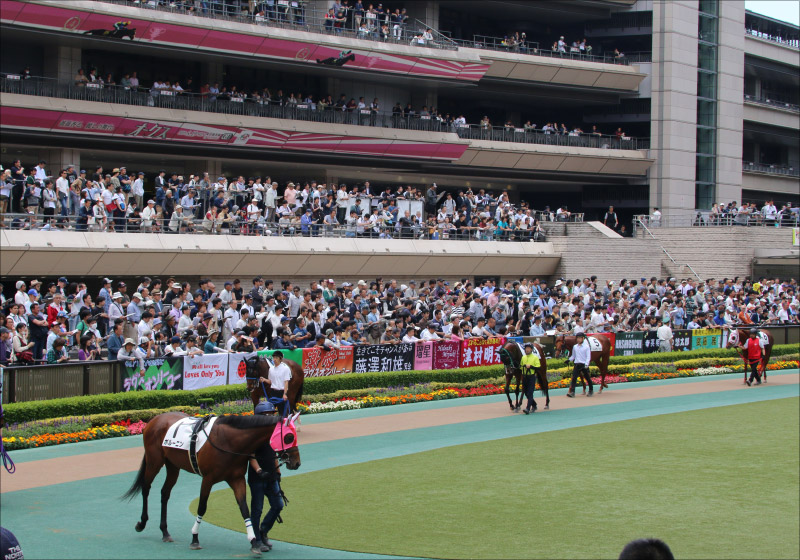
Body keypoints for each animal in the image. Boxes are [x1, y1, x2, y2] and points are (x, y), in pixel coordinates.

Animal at [123, 412, 302, 556]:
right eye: (289, 437)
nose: (296, 463)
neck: (228, 441)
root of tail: (154, 420)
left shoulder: (236, 479)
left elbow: (244, 508)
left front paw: (253, 542)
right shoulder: (207, 479)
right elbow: (202, 507)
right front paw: (195, 538)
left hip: (173, 465)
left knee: (165, 493)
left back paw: (165, 531)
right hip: (154, 461)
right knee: (146, 488)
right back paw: (142, 523)